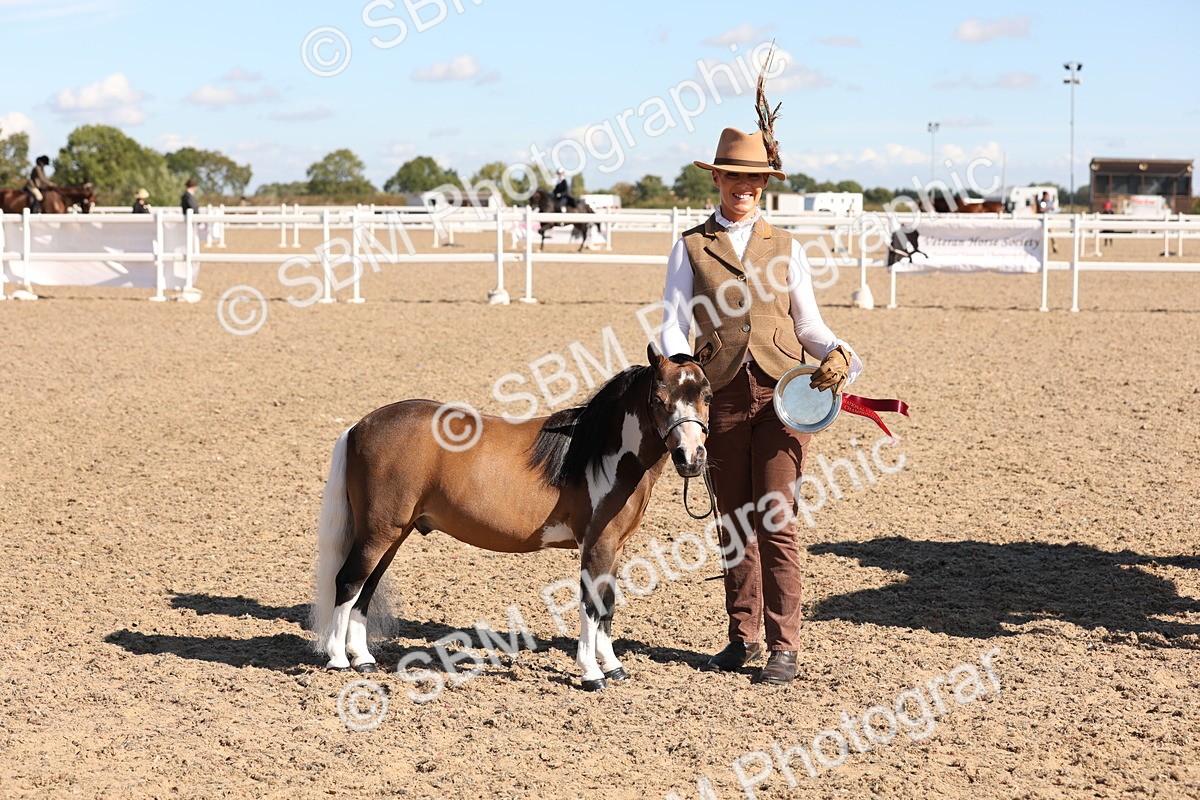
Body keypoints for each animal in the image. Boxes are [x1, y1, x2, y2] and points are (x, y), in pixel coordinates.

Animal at [310, 345, 711, 691]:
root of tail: (359, 427)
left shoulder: (615, 548)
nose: (690, 457)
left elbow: (607, 605)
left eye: (706, 395)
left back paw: (363, 659)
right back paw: (338, 660)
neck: (601, 454)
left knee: (366, 589)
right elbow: (589, 605)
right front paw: (591, 673)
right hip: (378, 533)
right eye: (658, 399)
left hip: (391, 534)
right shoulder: (596, 545)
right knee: (348, 582)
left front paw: (613, 667)